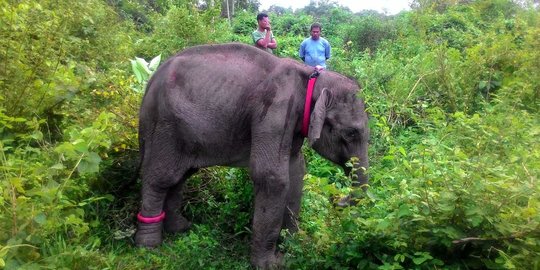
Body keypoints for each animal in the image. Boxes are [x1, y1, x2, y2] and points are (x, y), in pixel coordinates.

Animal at [135, 42, 370, 268]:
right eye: (351, 133)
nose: (340, 201)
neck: (311, 76)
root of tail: (150, 79)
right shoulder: (274, 110)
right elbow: (271, 177)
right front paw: (269, 264)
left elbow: (296, 170)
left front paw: (291, 248)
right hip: (164, 124)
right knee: (160, 177)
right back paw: (149, 245)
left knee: (180, 176)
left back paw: (181, 228)